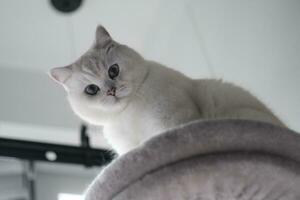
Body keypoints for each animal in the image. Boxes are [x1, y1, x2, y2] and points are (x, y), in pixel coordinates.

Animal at [50, 25, 284, 155]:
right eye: (91, 89)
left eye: (113, 71)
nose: (111, 91)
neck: (127, 114)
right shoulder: (129, 149)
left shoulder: (172, 123)